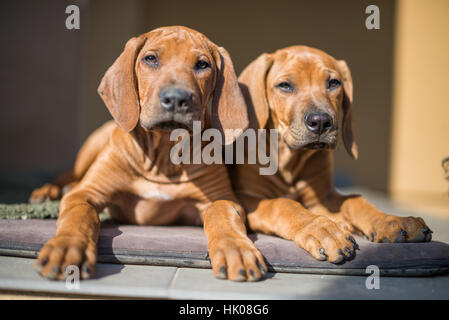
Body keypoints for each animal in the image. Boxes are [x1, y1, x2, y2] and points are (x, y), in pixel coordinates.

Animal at [30, 27, 266, 282]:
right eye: (150, 59)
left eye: (202, 64)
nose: (176, 98)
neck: (162, 156)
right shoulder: (87, 193)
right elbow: (79, 215)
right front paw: (67, 247)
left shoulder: (220, 197)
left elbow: (222, 215)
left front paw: (236, 249)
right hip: (93, 144)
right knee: (69, 175)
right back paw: (49, 191)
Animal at [231, 45, 430, 264]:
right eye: (284, 85)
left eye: (333, 83)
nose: (320, 121)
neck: (290, 160)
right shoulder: (247, 198)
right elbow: (283, 204)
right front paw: (322, 230)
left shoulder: (322, 198)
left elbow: (354, 200)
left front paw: (393, 221)